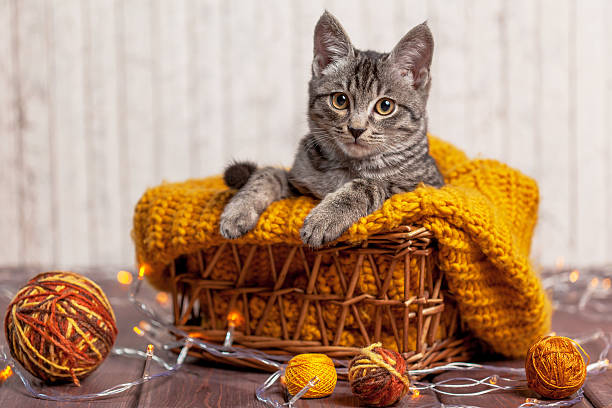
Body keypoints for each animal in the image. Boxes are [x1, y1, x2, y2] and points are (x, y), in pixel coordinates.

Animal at [220, 11, 444, 247]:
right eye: (340, 100)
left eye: (385, 106)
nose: (356, 129)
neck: (348, 166)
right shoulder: (298, 184)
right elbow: (268, 173)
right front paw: (238, 211)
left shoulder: (422, 188)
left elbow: (370, 184)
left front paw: (325, 218)